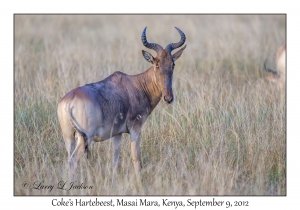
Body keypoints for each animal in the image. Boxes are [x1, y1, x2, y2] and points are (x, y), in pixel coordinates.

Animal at [56, 25, 185, 177]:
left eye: (173, 64)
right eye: (156, 64)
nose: (168, 98)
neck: (137, 84)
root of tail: (69, 102)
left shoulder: (117, 134)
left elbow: (115, 160)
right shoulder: (135, 128)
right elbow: (136, 159)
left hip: (69, 136)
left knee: (68, 158)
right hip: (85, 137)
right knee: (73, 160)